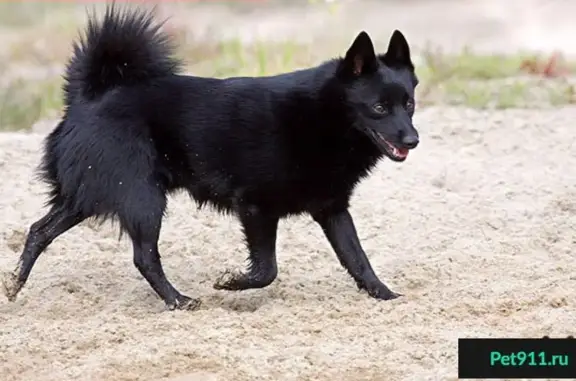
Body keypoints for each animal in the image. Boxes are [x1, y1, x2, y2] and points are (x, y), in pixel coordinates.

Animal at [2, 4, 420, 310]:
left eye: (409, 104)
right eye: (379, 107)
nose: (413, 139)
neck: (323, 116)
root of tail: (88, 97)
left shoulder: (332, 209)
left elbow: (357, 257)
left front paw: (385, 295)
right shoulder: (255, 207)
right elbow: (267, 270)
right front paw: (230, 282)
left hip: (89, 195)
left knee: (39, 230)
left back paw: (15, 285)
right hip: (142, 198)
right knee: (144, 256)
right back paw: (179, 301)